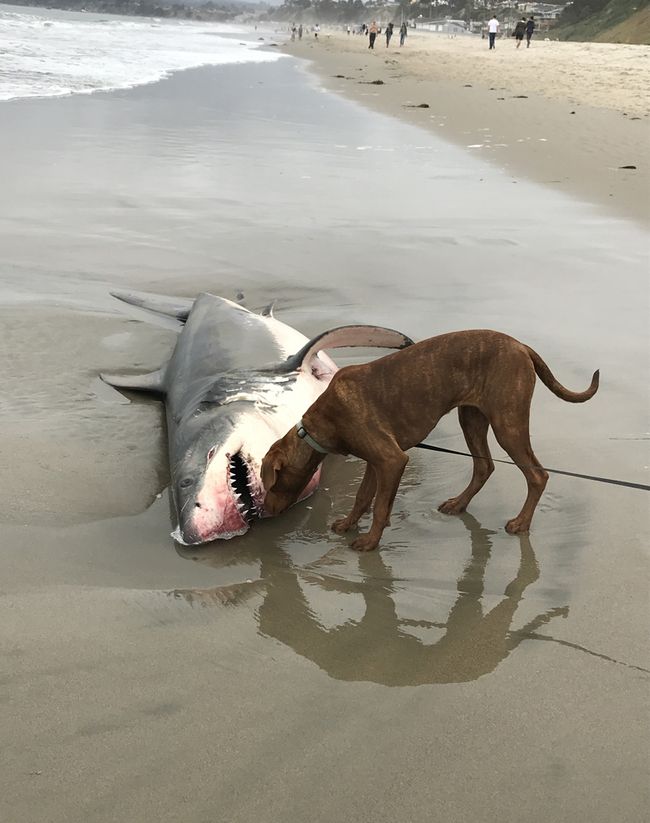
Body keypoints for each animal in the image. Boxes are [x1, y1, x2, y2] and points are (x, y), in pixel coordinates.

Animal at [262, 330, 596, 552]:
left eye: (272, 483)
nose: (264, 511)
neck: (322, 424)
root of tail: (521, 346)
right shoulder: (375, 461)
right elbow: (362, 496)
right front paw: (348, 524)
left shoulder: (392, 460)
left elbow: (380, 506)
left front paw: (370, 541)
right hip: (471, 418)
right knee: (484, 467)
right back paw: (459, 503)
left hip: (508, 423)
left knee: (537, 475)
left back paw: (521, 523)